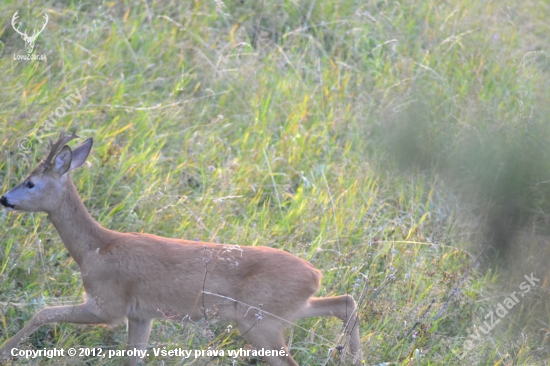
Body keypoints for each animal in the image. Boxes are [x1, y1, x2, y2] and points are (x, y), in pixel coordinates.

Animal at [1, 132, 366, 366]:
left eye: (30, 182)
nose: (4, 198)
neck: (95, 249)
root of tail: (315, 275)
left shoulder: (108, 305)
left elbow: (41, 313)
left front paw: (6, 351)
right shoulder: (140, 314)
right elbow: (133, 359)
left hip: (259, 321)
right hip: (281, 313)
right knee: (345, 302)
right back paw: (354, 357)